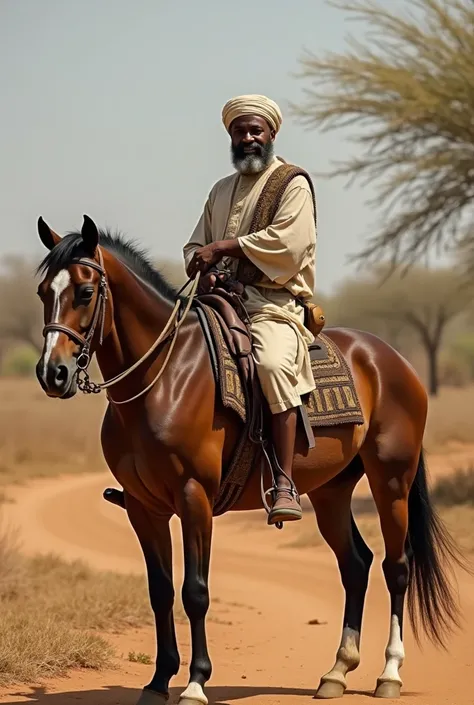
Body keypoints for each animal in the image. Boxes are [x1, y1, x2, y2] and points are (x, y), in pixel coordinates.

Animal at [35, 216, 464, 704]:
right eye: (44, 291)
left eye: (85, 292)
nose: (52, 374)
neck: (164, 378)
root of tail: (391, 360)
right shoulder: (144, 508)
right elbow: (160, 591)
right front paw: (159, 681)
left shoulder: (195, 499)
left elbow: (195, 592)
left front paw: (196, 682)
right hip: (332, 492)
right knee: (356, 565)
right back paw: (336, 672)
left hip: (391, 481)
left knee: (397, 567)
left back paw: (389, 673)